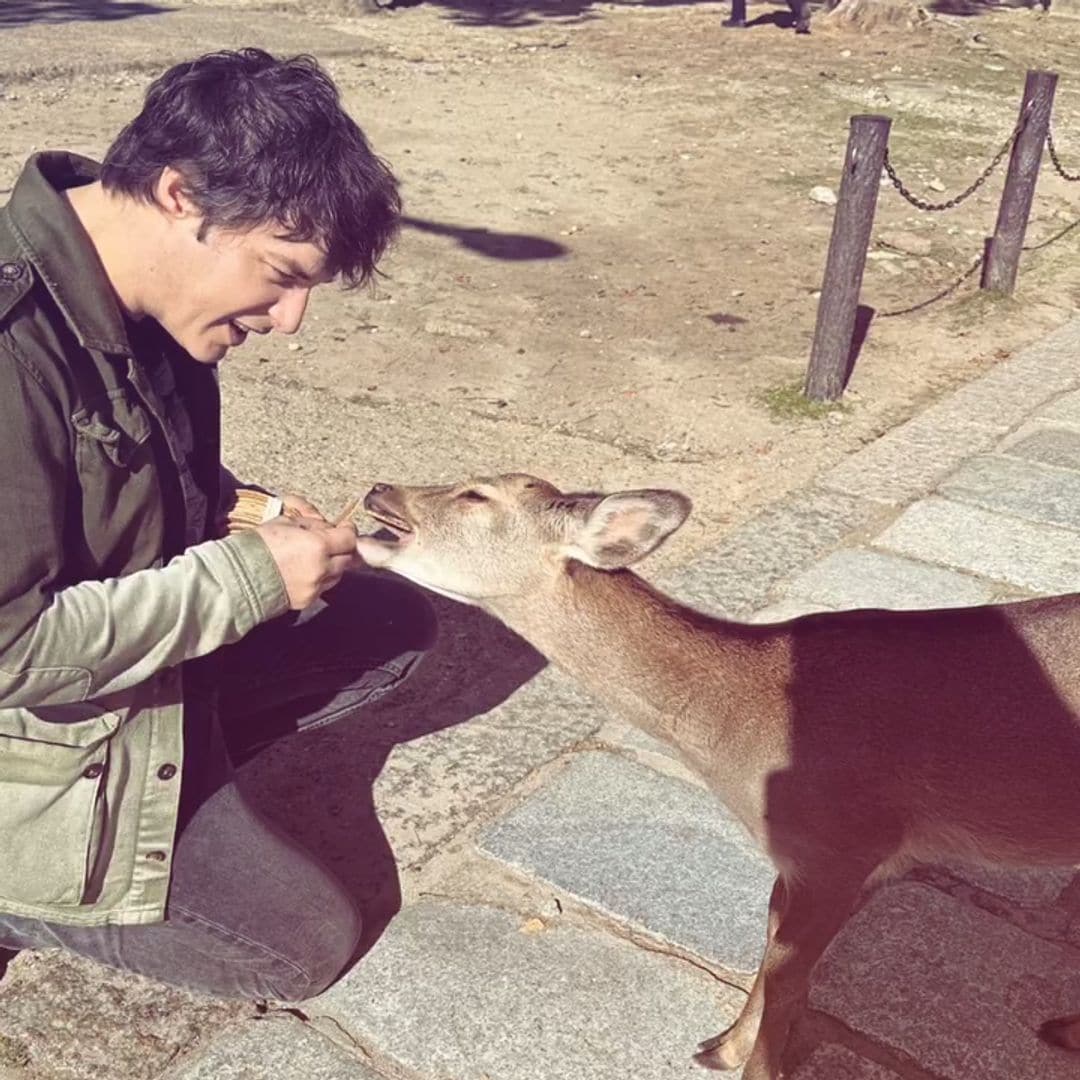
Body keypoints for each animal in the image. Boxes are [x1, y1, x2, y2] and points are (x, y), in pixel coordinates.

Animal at [358, 475, 1080, 1080]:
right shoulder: (807, 861)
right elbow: (769, 953)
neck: (739, 724)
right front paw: (718, 1048)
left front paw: (752, 1067)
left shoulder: (844, 847)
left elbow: (788, 979)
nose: (378, 490)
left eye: (477, 493)